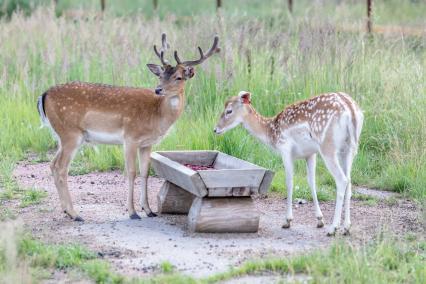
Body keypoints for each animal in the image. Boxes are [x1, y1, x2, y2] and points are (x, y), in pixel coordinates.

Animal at [37, 33, 220, 222]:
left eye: (178, 77)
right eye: (160, 76)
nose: (158, 89)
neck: (157, 115)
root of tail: (44, 95)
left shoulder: (147, 143)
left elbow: (145, 172)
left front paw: (149, 210)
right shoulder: (130, 137)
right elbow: (131, 172)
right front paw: (133, 213)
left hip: (62, 136)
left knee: (53, 164)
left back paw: (66, 211)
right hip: (71, 134)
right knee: (61, 168)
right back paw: (75, 214)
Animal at [215, 91, 364, 235]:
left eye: (229, 111)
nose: (215, 129)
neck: (271, 133)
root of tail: (351, 111)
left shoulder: (285, 148)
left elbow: (289, 182)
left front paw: (287, 221)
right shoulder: (310, 153)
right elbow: (311, 182)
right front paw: (319, 220)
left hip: (328, 146)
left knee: (342, 180)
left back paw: (333, 228)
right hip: (349, 149)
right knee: (349, 181)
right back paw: (346, 227)